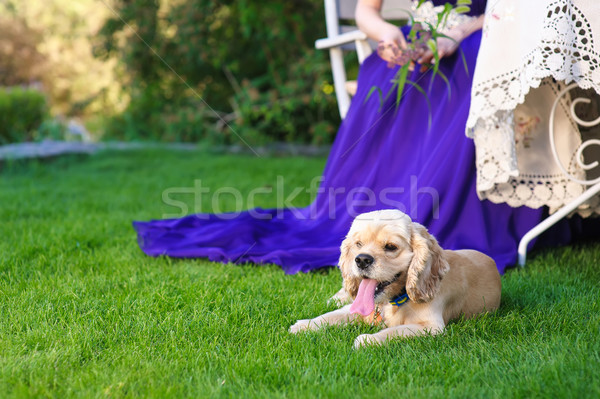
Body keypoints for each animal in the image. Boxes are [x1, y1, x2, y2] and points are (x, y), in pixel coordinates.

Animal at [288, 209, 500, 350]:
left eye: (390, 247)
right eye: (358, 244)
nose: (362, 260)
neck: (392, 301)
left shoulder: (432, 327)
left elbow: (395, 331)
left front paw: (367, 339)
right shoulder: (355, 309)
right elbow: (331, 315)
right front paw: (304, 325)